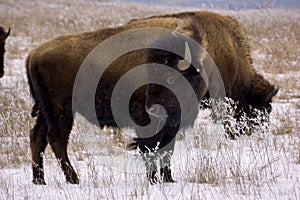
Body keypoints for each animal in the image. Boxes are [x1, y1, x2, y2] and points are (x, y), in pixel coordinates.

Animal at [27, 12, 278, 184]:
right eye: (262, 107)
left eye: (170, 78)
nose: (257, 131)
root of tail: (33, 53)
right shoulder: (147, 121)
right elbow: (151, 147)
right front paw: (153, 179)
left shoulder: (173, 122)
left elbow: (167, 148)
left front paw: (168, 179)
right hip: (61, 110)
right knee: (57, 139)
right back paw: (73, 179)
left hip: (46, 111)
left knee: (38, 137)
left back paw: (40, 180)